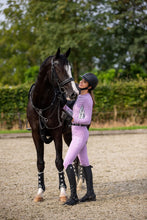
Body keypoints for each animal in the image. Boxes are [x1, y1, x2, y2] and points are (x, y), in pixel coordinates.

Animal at [27, 48, 79, 203]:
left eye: (70, 68)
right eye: (58, 69)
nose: (74, 93)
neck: (41, 104)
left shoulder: (56, 134)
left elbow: (59, 161)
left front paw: (63, 191)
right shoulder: (36, 134)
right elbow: (40, 162)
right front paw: (39, 192)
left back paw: (80, 184)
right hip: (67, 136)